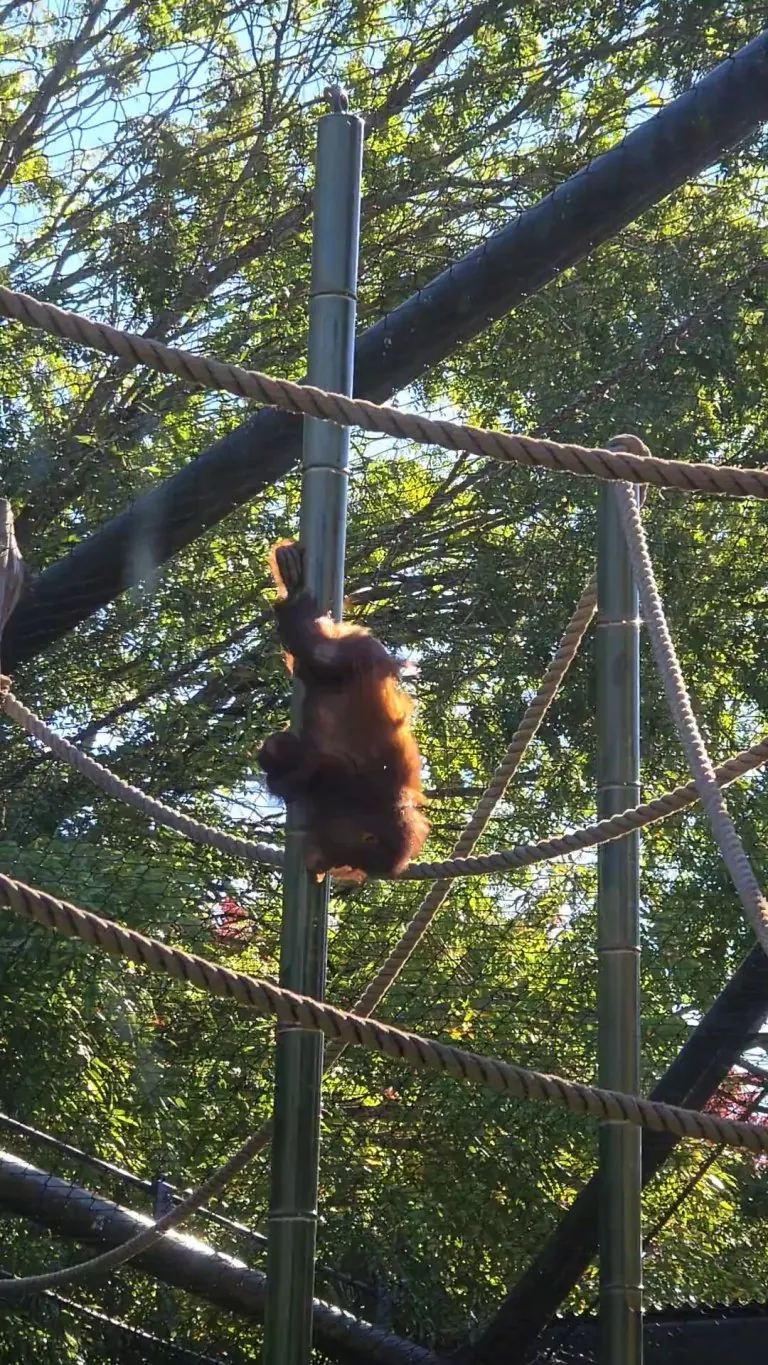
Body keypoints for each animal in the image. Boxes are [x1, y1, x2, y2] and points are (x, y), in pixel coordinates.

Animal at [257, 540, 430, 881]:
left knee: (313, 656)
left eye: (345, 860)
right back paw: (293, 590)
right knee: (317, 650)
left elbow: (288, 772)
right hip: (358, 653)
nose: (326, 863)